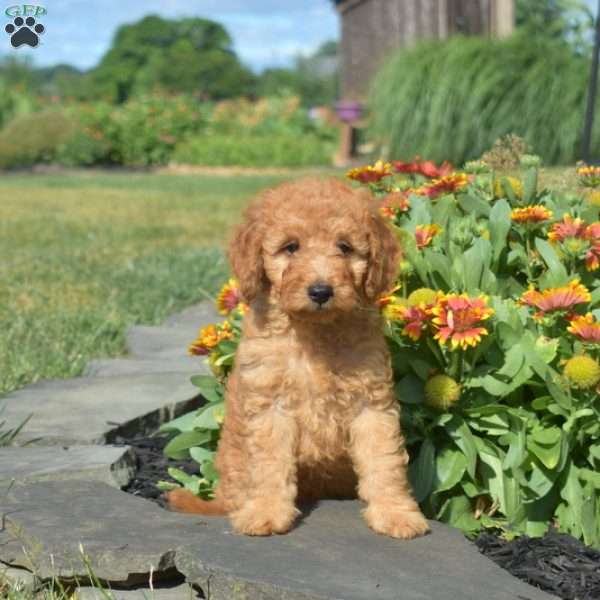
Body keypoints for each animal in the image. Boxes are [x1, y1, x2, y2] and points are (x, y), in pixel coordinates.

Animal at [166, 175, 428, 540]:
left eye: (345, 247)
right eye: (291, 247)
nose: (320, 291)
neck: (314, 332)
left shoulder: (372, 403)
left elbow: (384, 460)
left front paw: (396, 513)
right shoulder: (270, 405)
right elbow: (269, 464)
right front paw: (265, 513)